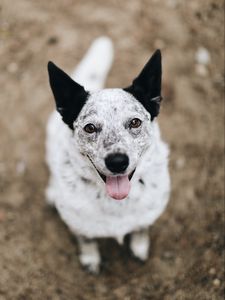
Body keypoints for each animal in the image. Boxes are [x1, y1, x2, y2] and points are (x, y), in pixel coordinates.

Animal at [46, 36, 171, 274]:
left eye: (135, 122)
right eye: (90, 128)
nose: (117, 162)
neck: (115, 203)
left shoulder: (148, 215)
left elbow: (142, 228)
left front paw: (139, 246)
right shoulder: (78, 224)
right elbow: (86, 239)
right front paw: (90, 258)